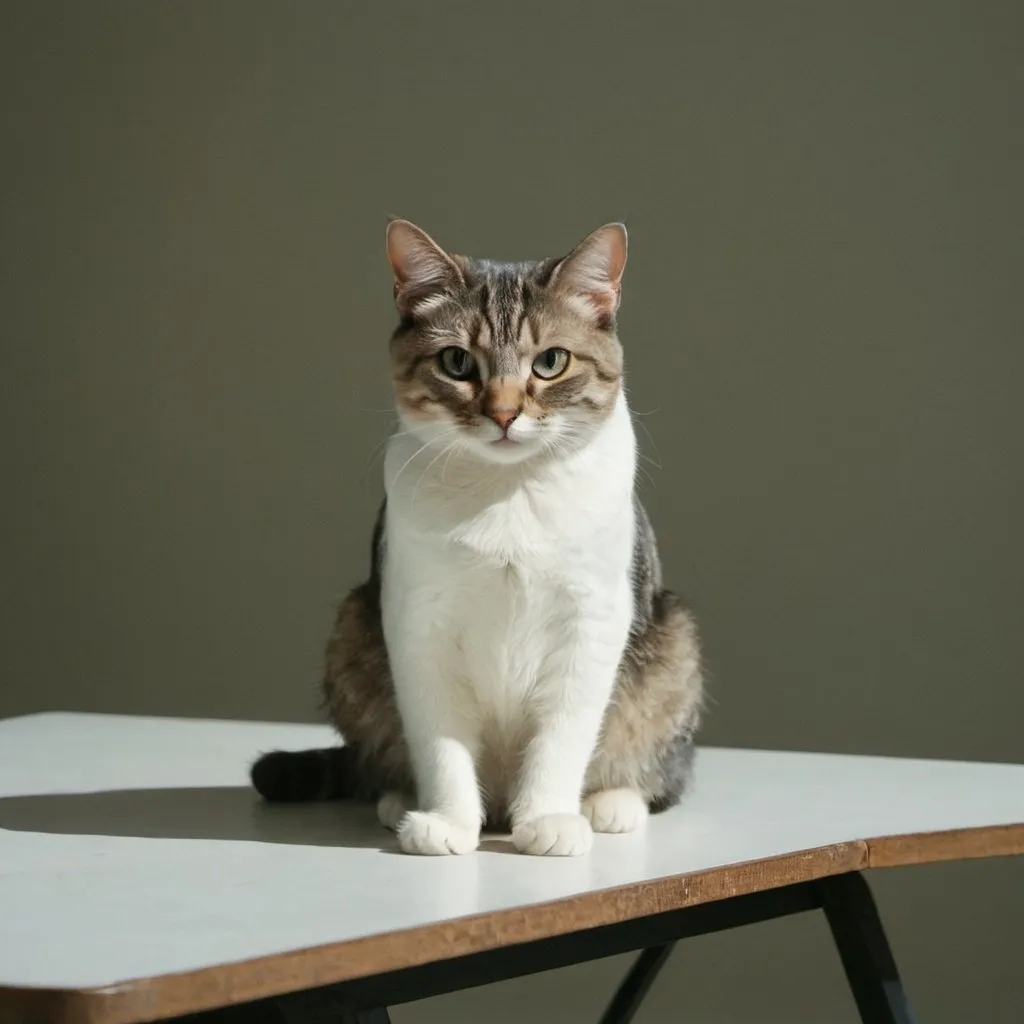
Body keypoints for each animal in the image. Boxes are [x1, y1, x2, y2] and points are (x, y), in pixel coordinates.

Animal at [254, 218, 704, 856]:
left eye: (551, 362)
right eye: (456, 362)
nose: (505, 413)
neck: (506, 490)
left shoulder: (591, 618)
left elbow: (563, 736)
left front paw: (548, 820)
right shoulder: (417, 620)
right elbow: (440, 741)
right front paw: (446, 822)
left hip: (675, 642)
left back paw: (611, 803)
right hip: (351, 629)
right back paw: (399, 800)